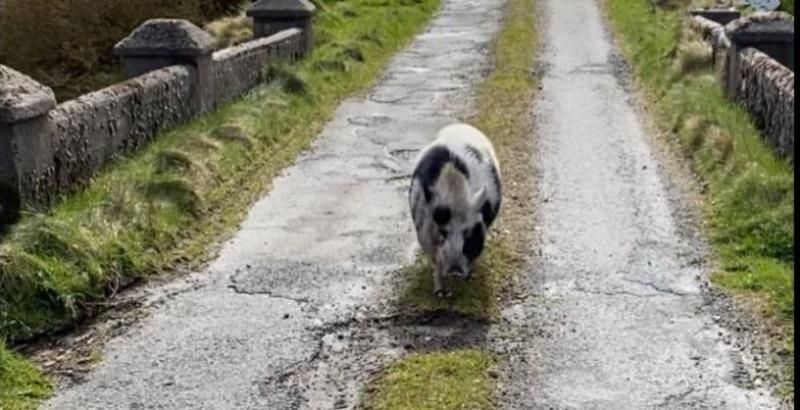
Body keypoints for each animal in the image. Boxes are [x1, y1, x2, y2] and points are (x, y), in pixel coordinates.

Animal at [408, 123, 502, 298]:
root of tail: (460, 125)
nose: (455, 271)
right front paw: (440, 294)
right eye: (443, 232)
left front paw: (468, 279)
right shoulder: (425, 236)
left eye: (469, 233)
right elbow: (436, 264)